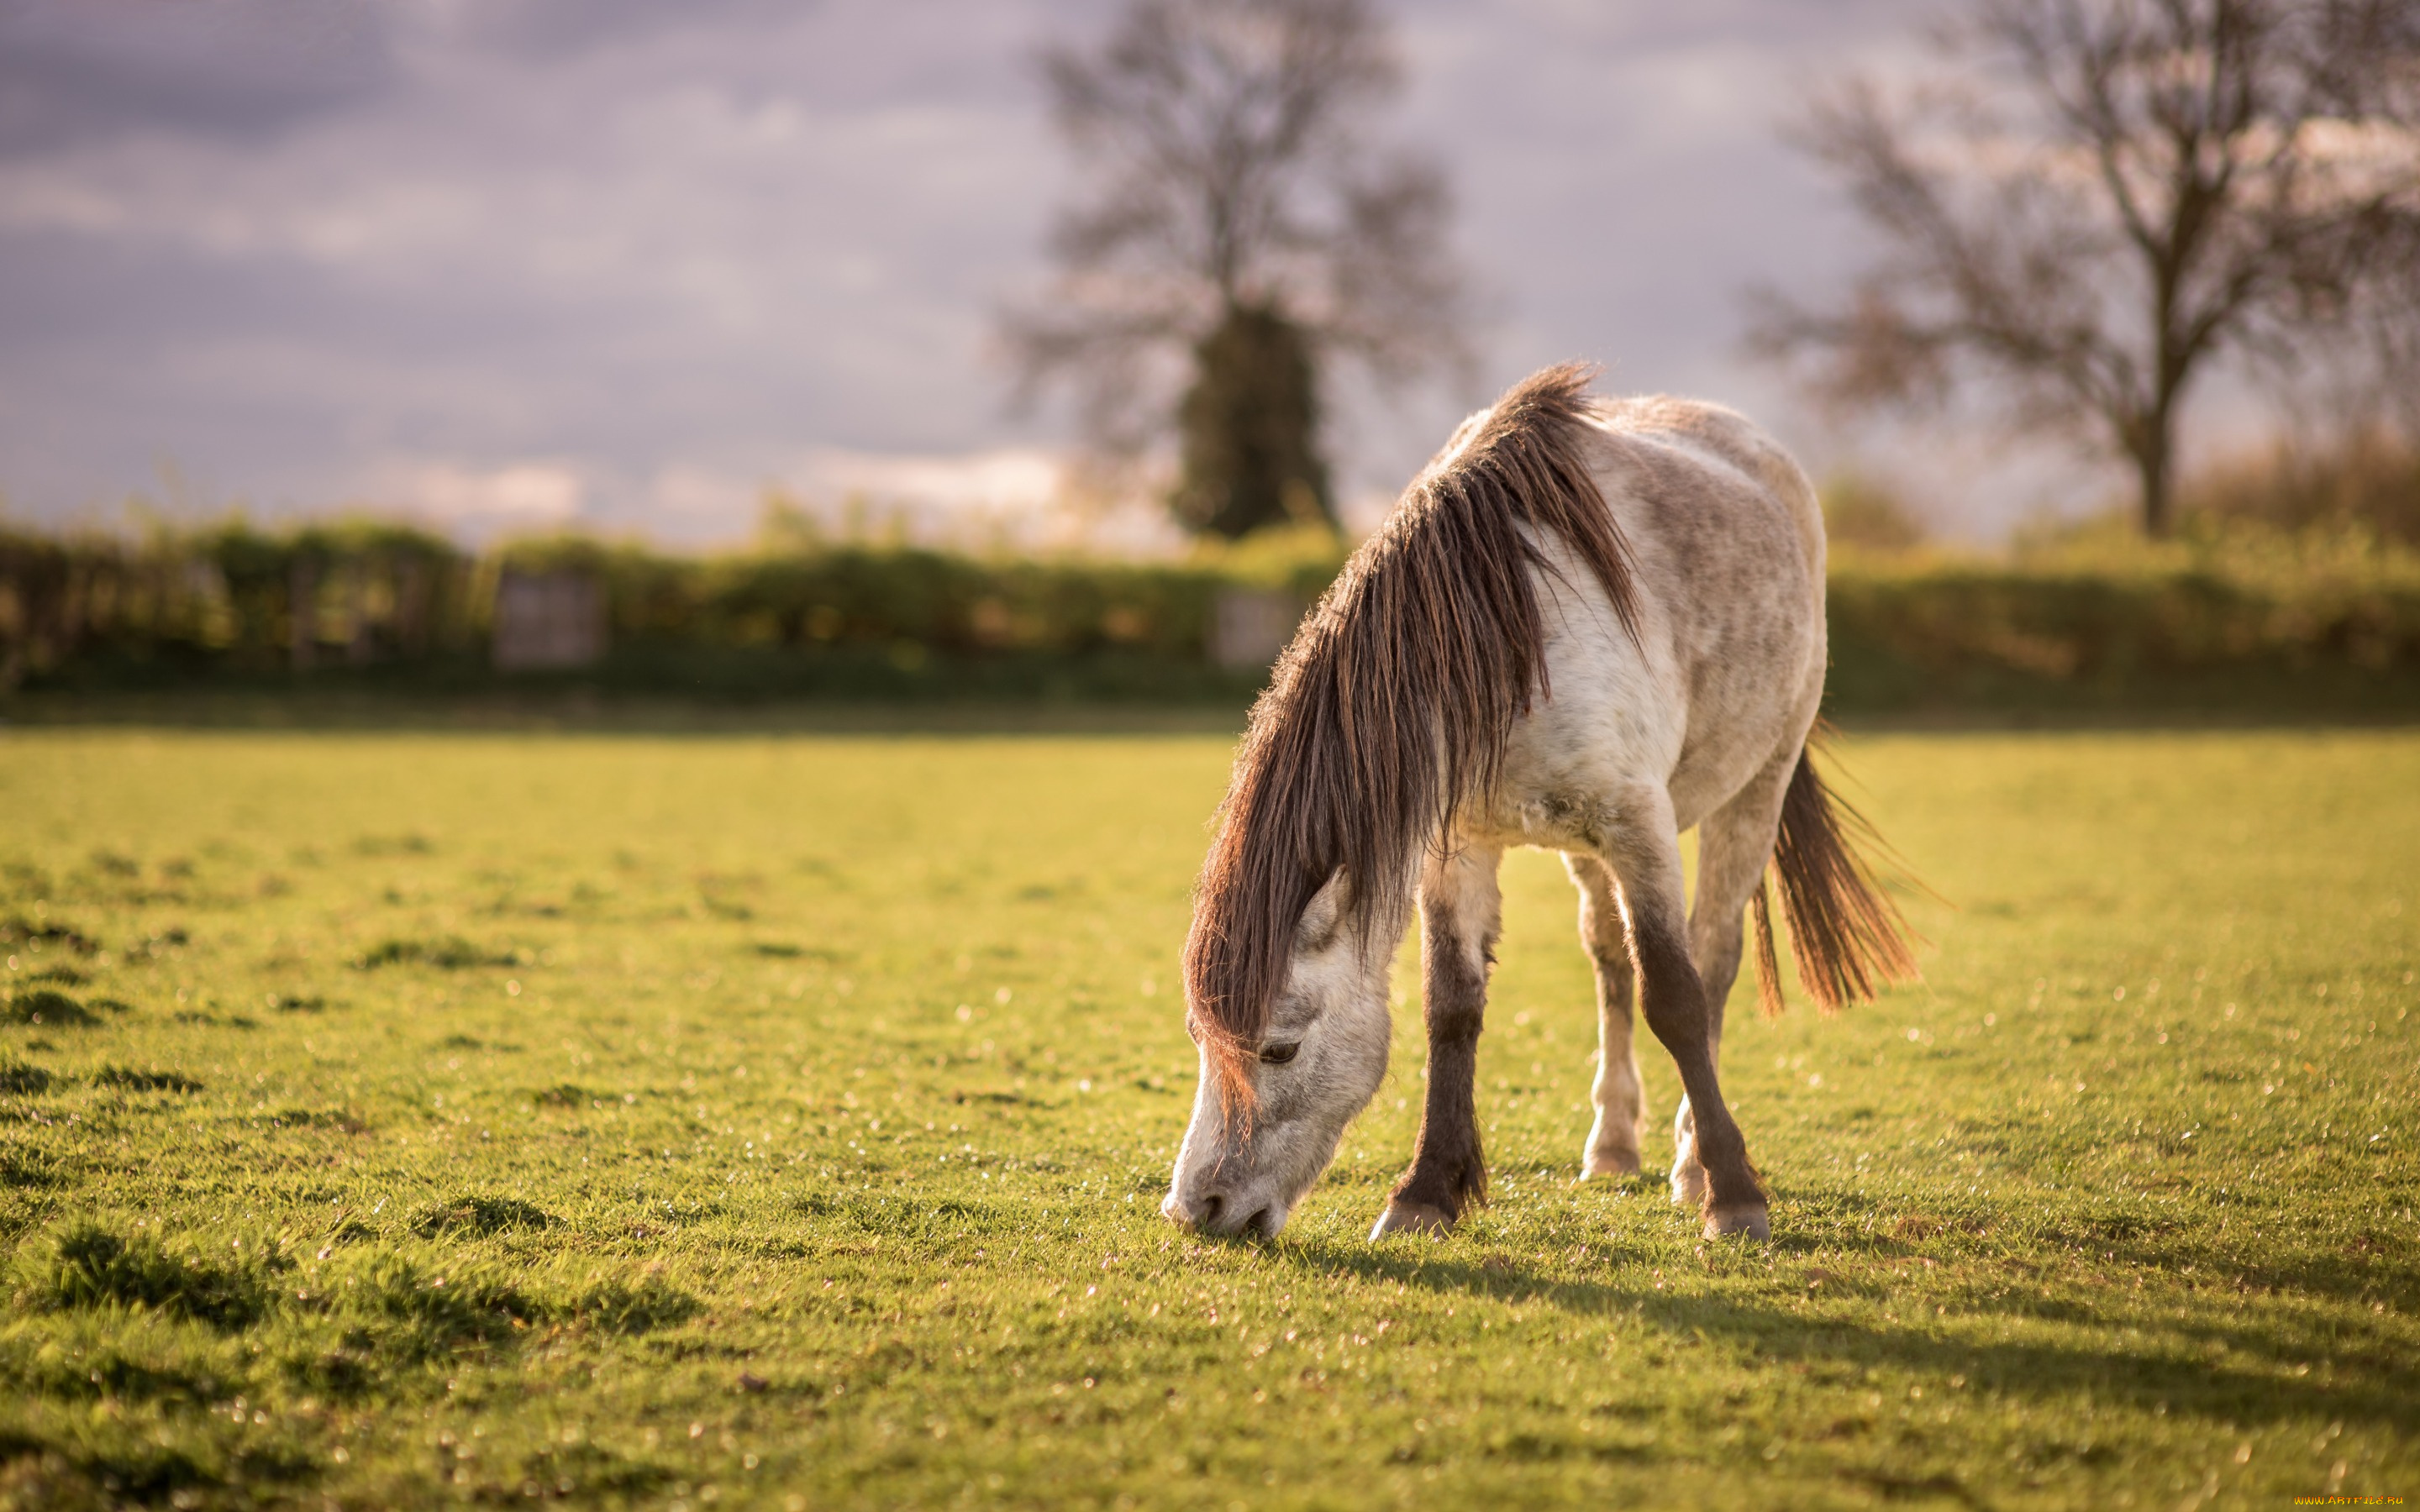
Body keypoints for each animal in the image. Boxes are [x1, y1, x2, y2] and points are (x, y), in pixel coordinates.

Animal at [1161, 363, 1916, 1238]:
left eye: (1279, 1047)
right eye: (1199, 1036)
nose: (1197, 1208)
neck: (1508, 642)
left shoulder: (1640, 827)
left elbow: (1677, 997)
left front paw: (1734, 1195)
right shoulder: (1456, 846)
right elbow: (1452, 1008)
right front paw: (1425, 1193)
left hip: (1755, 789)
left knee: (1714, 958)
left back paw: (1692, 1162)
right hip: (1583, 852)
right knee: (1609, 960)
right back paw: (1614, 1144)